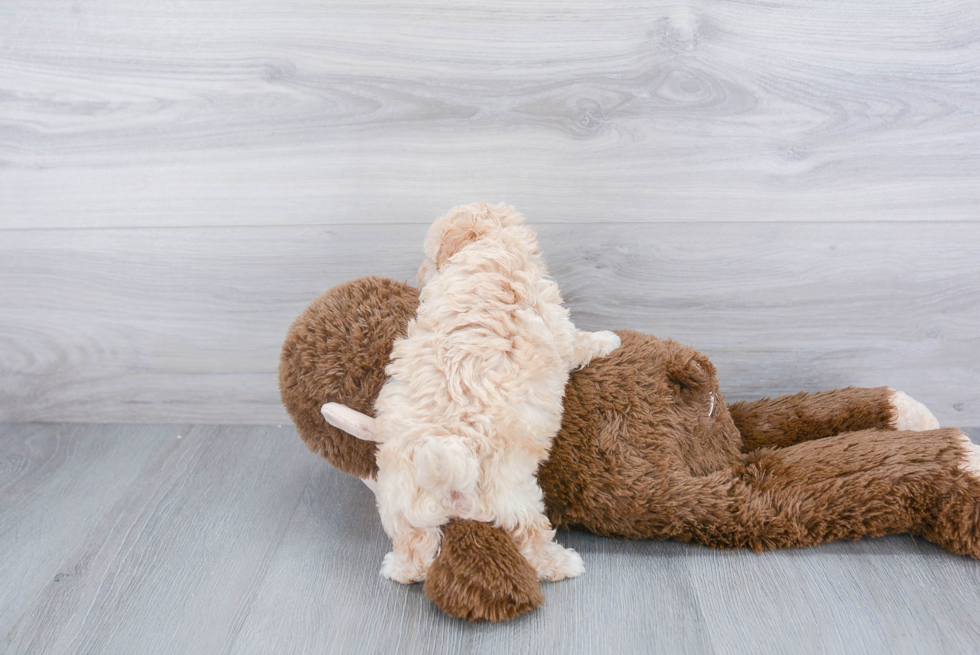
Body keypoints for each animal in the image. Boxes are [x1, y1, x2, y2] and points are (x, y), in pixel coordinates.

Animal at [376, 204, 620, 584]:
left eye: (427, 259)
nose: (417, 275)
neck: (492, 246)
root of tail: (449, 473)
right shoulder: (555, 321)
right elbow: (578, 342)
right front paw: (607, 338)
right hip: (516, 498)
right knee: (532, 539)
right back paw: (564, 564)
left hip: (403, 502)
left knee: (415, 548)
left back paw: (398, 567)